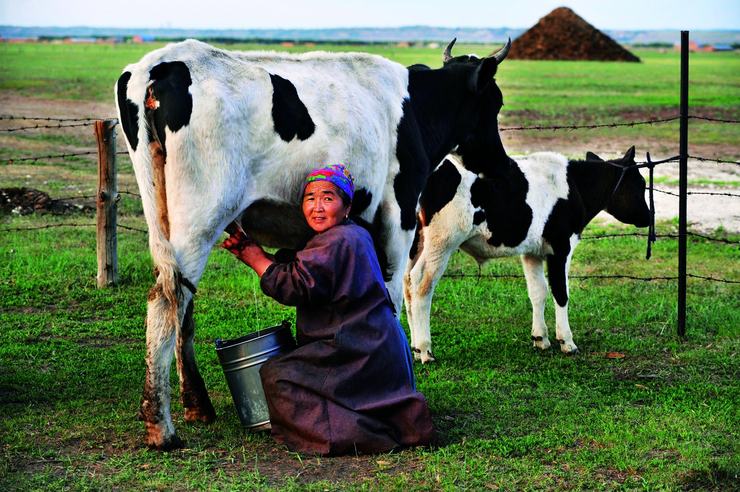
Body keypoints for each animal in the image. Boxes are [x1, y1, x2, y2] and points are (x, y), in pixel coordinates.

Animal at [402, 146, 652, 362]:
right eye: (640, 183)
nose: (648, 217)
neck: (575, 186)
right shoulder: (562, 245)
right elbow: (561, 292)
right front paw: (567, 342)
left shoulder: (532, 251)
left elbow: (538, 291)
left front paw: (540, 338)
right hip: (442, 241)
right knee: (421, 283)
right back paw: (425, 350)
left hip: (416, 243)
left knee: (407, 282)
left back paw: (414, 348)